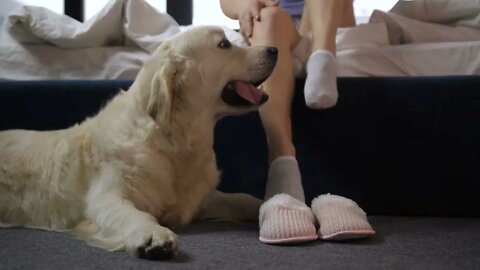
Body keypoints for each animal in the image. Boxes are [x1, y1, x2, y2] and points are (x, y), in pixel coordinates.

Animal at [0, 26, 278, 260]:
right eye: (223, 44)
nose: (274, 49)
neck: (174, 140)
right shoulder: (108, 199)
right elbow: (134, 214)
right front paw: (154, 236)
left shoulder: (199, 200)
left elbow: (242, 198)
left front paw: (270, 208)